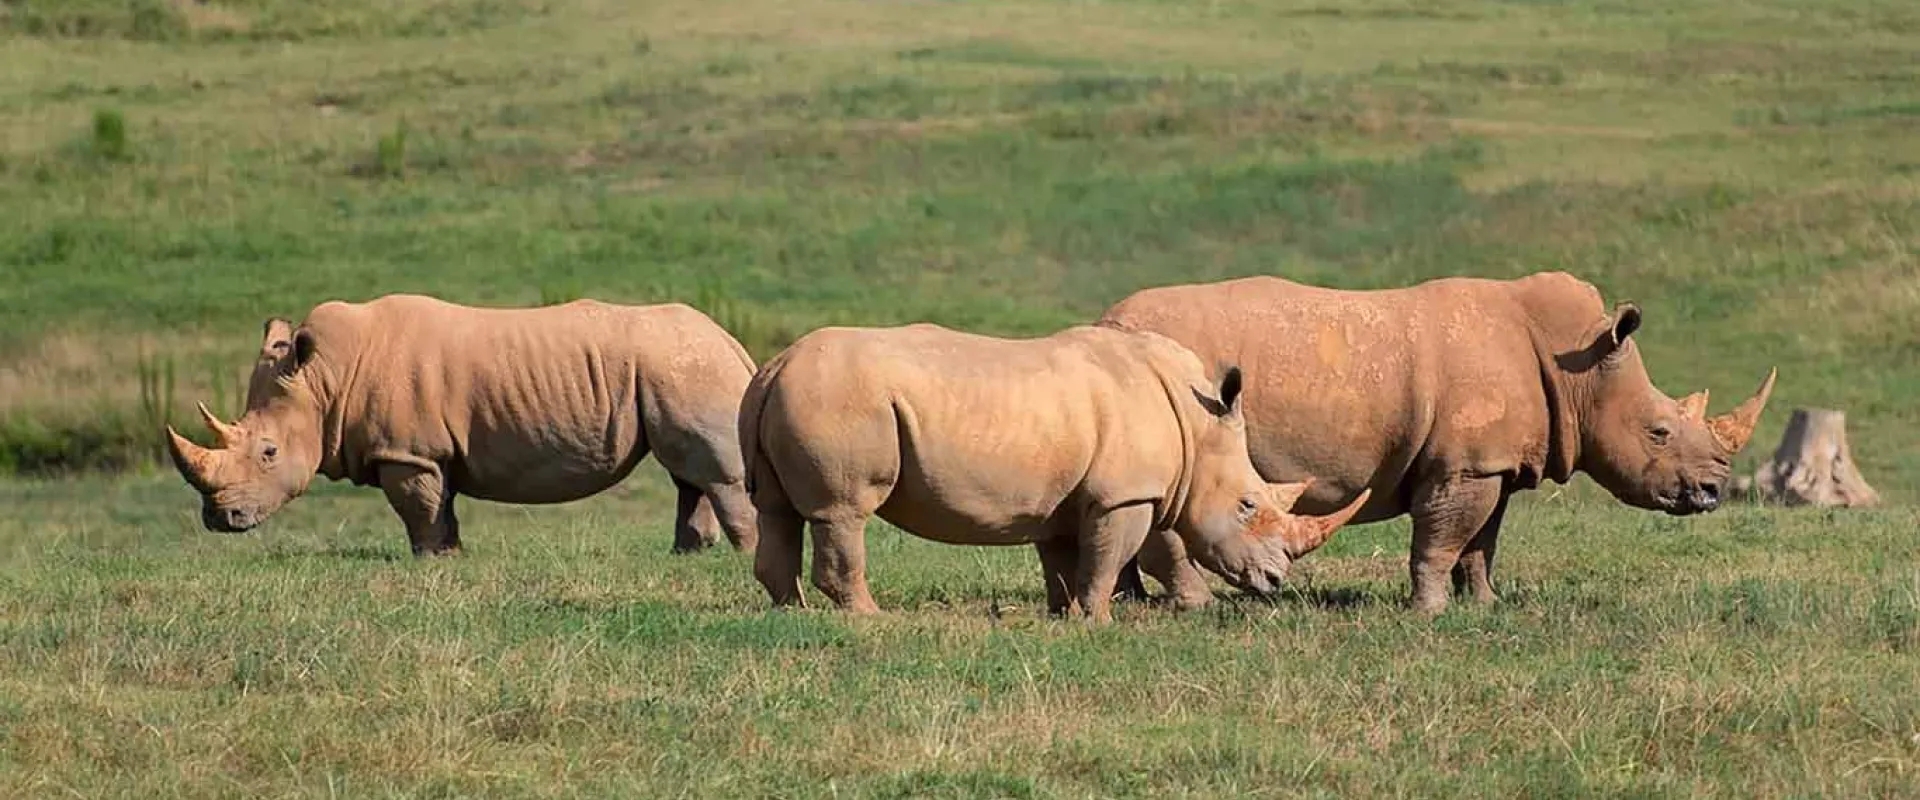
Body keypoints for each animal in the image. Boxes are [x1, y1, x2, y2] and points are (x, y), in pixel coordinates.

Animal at [165, 294, 760, 555]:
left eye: (267, 452)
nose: (220, 520)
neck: (326, 381)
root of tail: (731, 340)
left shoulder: (406, 451)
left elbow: (418, 508)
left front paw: (430, 560)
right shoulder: (429, 451)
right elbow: (441, 503)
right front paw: (450, 555)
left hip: (687, 369)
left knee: (712, 473)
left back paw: (742, 555)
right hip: (676, 369)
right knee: (689, 475)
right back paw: (689, 555)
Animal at [737, 322, 1369, 622]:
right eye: (1248, 505)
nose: (1275, 583)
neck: (1197, 425)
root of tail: (777, 363)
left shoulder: (1077, 496)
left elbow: (1070, 557)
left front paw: (1065, 612)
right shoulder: (1128, 493)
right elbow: (1124, 552)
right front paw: (1100, 619)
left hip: (790, 394)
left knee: (777, 508)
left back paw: (790, 609)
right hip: (839, 399)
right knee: (843, 512)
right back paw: (870, 618)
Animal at [1101, 272, 1776, 613]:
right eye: (1659, 432)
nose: (1712, 491)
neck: (1580, 369)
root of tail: (1110, 321)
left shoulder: (1494, 464)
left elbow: (1481, 542)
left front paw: (1484, 603)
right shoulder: (1466, 465)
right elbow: (1442, 538)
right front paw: (1431, 612)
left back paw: (1132, 602)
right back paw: (1194, 607)